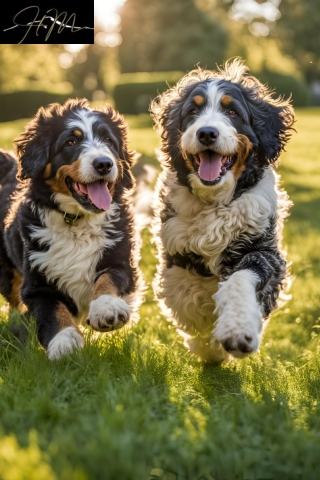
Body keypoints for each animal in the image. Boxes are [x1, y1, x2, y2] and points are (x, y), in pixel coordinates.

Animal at [0, 98, 141, 360]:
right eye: (71, 141)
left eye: (108, 141)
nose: (104, 164)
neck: (77, 222)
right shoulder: (37, 283)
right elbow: (52, 311)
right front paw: (64, 341)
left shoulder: (122, 261)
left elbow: (107, 279)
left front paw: (106, 308)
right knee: (14, 303)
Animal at [151, 59, 296, 360]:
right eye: (192, 112)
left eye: (232, 111)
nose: (206, 132)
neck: (214, 202)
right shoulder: (175, 252)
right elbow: (188, 300)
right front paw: (209, 344)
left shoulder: (266, 253)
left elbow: (240, 279)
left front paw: (236, 330)